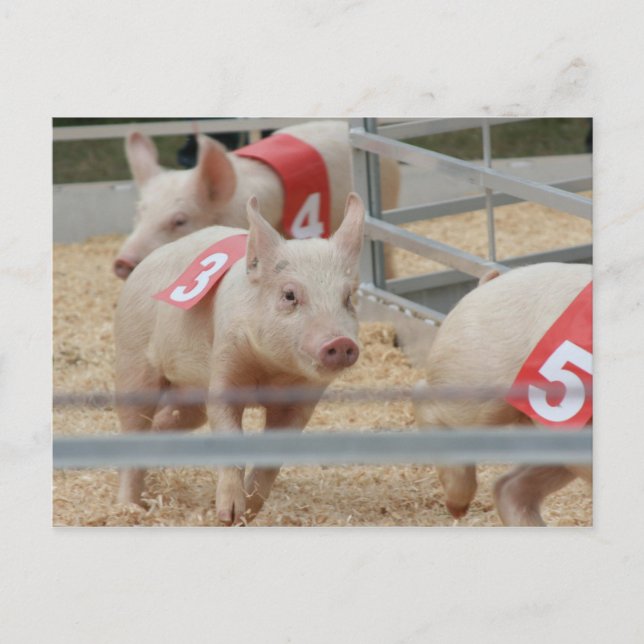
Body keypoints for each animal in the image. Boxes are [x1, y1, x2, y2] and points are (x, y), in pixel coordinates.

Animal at [114, 193, 365, 525]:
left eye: (348, 298)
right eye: (289, 295)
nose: (340, 341)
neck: (271, 372)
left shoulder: (302, 400)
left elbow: (273, 457)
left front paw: (251, 512)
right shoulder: (225, 365)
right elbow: (228, 428)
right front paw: (228, 515)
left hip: (190, 395)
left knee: (166, 421)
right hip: (132, 358)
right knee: (135, 423)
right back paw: (129, 508)